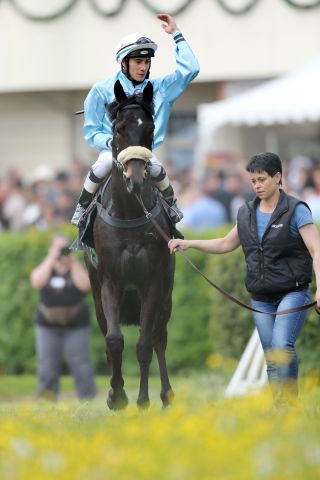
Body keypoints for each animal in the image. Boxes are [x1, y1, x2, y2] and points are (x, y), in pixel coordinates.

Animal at [85, 79, 175, 408]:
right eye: (119, 128)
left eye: (150, 128)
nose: (135, 179)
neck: (130, 210)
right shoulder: (110, 281)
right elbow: (113, 341)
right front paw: (117, 395)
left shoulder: (152, 283)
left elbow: (145, 343)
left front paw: (143, 399)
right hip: (97, 292)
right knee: (106, 333)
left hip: (166, 292)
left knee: (160, 337)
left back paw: (166, 394)